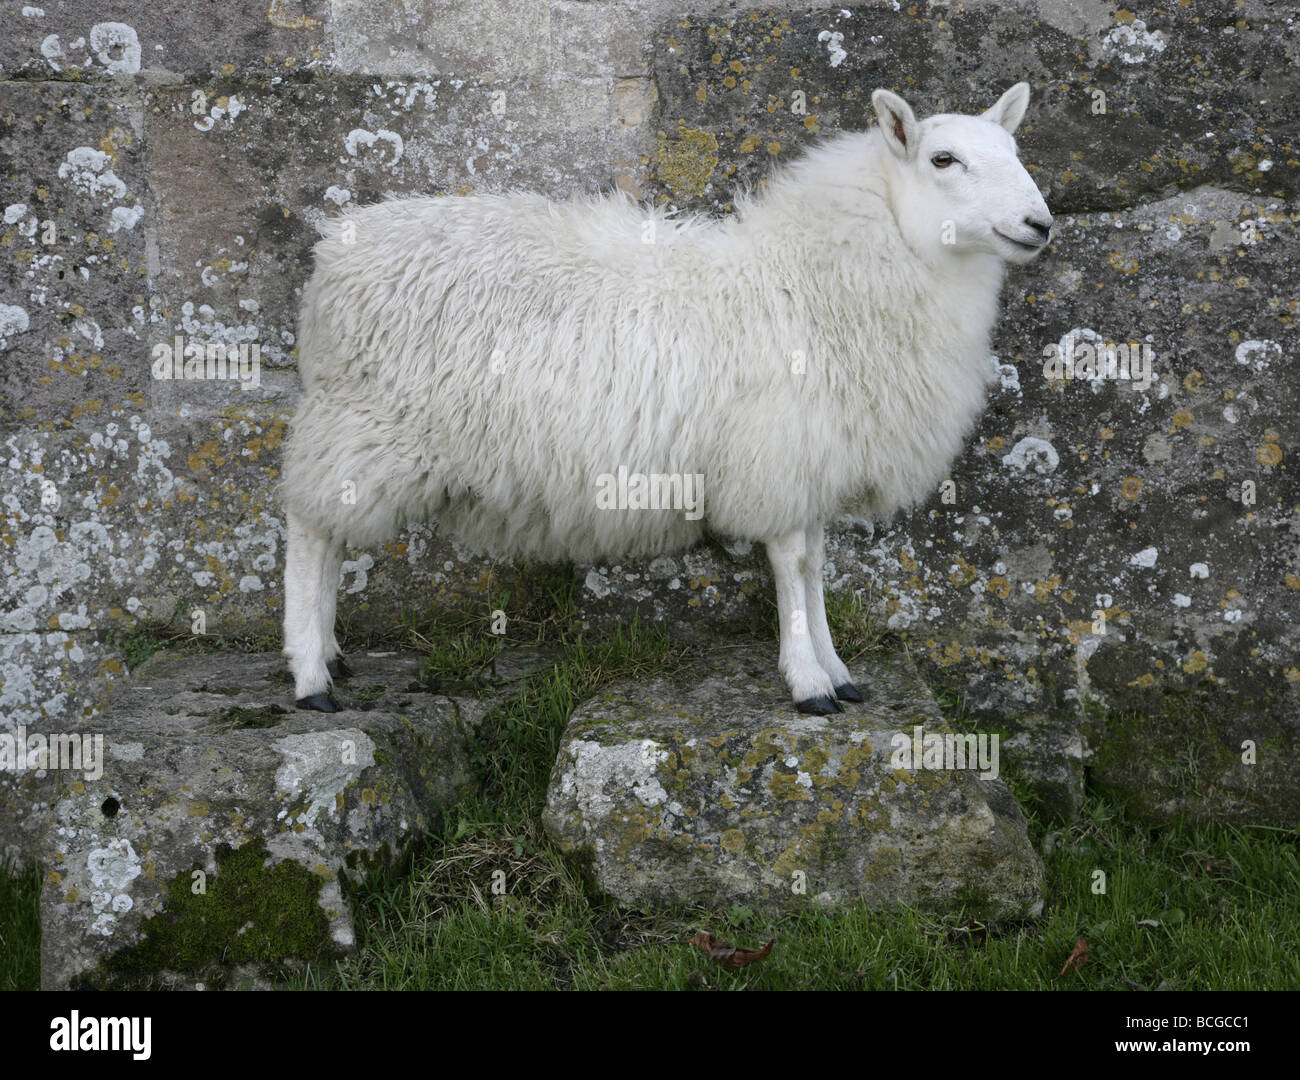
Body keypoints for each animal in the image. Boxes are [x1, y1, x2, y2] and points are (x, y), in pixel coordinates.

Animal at [280, 83, 1052, 715]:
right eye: (943, 160)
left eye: (1017, 151)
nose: (1041, 224)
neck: (814, 277)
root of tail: (333, 254)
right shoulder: (778, 453)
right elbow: (792, 567)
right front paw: (808, 683)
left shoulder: (813, 457)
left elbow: (815, 568)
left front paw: (837, 670)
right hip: (363, 428)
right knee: (310, 534)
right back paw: (310, 673)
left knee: (325, 536)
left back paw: (334, 659)